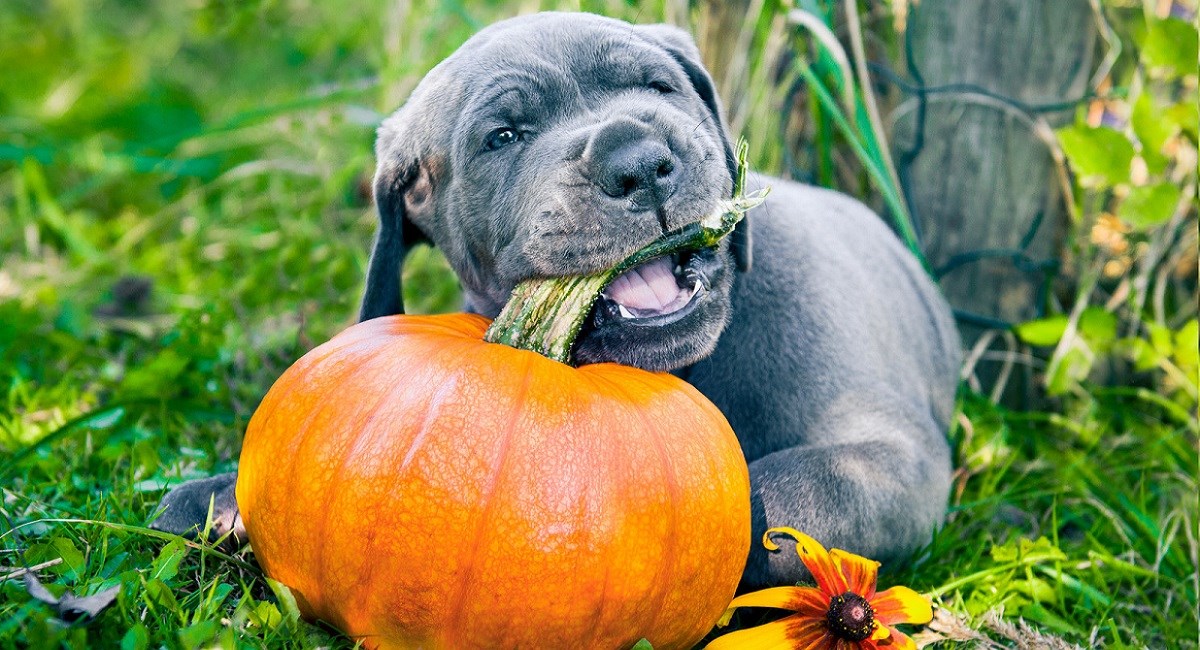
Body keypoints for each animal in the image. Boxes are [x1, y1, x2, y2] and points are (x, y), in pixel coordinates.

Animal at [157, 11, 964, 590]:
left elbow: (776, 494)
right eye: (502, 136)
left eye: (659, 88)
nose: (639, 163)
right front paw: (219, 500)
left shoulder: (895, 459)